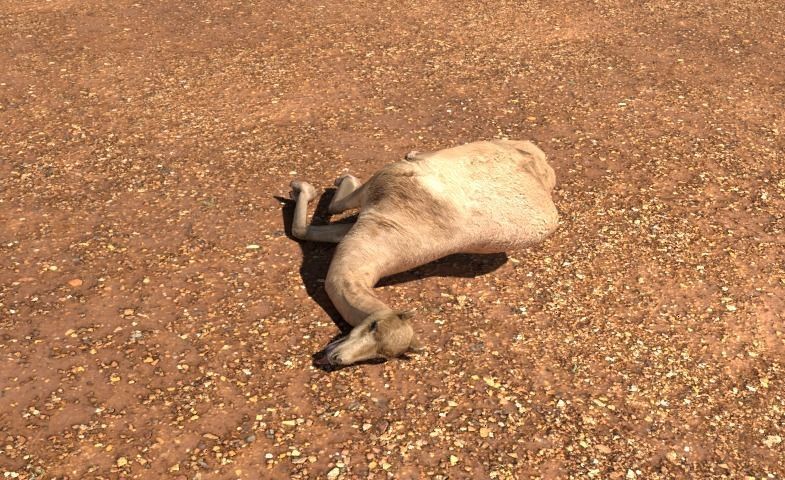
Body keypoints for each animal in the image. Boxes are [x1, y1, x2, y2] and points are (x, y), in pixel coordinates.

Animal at [289, 139, 559, 367]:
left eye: (380, 357)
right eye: (373, 326)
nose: (335, 358)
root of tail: (541, 159)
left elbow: (305, 229)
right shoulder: (381, 186)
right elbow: (325, 214)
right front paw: (304, 186)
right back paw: (413, 153)